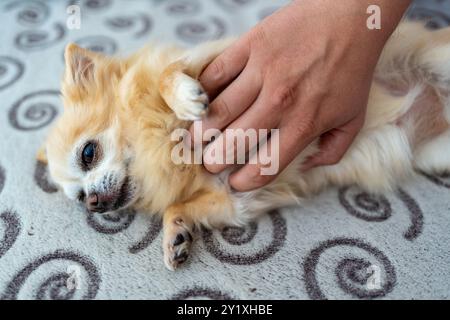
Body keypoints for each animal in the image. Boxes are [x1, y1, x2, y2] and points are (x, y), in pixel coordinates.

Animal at [39, 21, 450, 270]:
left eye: (88, 154)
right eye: (79, 198)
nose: (93, 203)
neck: (163, 151)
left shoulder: (223, 64)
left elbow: (170, 73)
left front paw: (184, 99)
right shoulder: (235, 195)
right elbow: (178, 205)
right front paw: (176, 235)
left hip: (437, 59)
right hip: (436, 153)